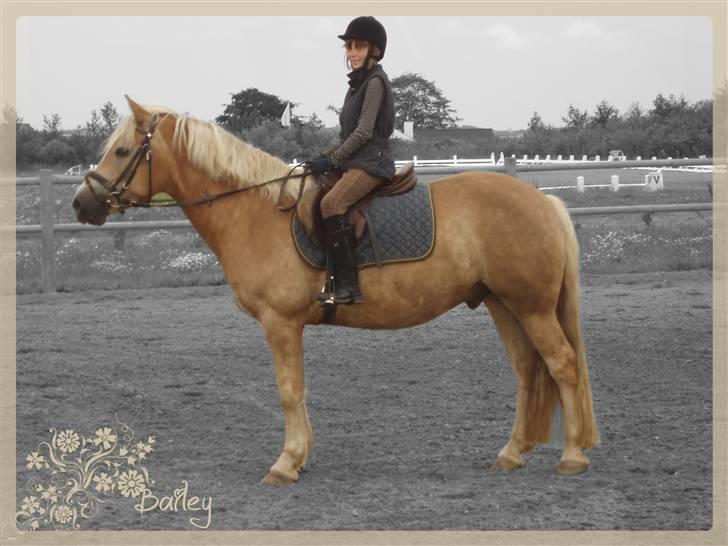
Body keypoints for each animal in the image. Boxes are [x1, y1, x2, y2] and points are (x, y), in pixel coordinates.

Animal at [71, 95, 600, 482]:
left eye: (122, 152)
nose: (81, 203)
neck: (256, 212)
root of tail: (543, 201)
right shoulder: (288, 326)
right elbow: (300, 391)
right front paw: (300, 456)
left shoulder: (280, 323)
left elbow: (289, 391)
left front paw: (285, 463)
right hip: (503, 304)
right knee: (529, 371)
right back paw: (512, 453)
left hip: (530, 307)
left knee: (562, 365)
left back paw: (572, 457)